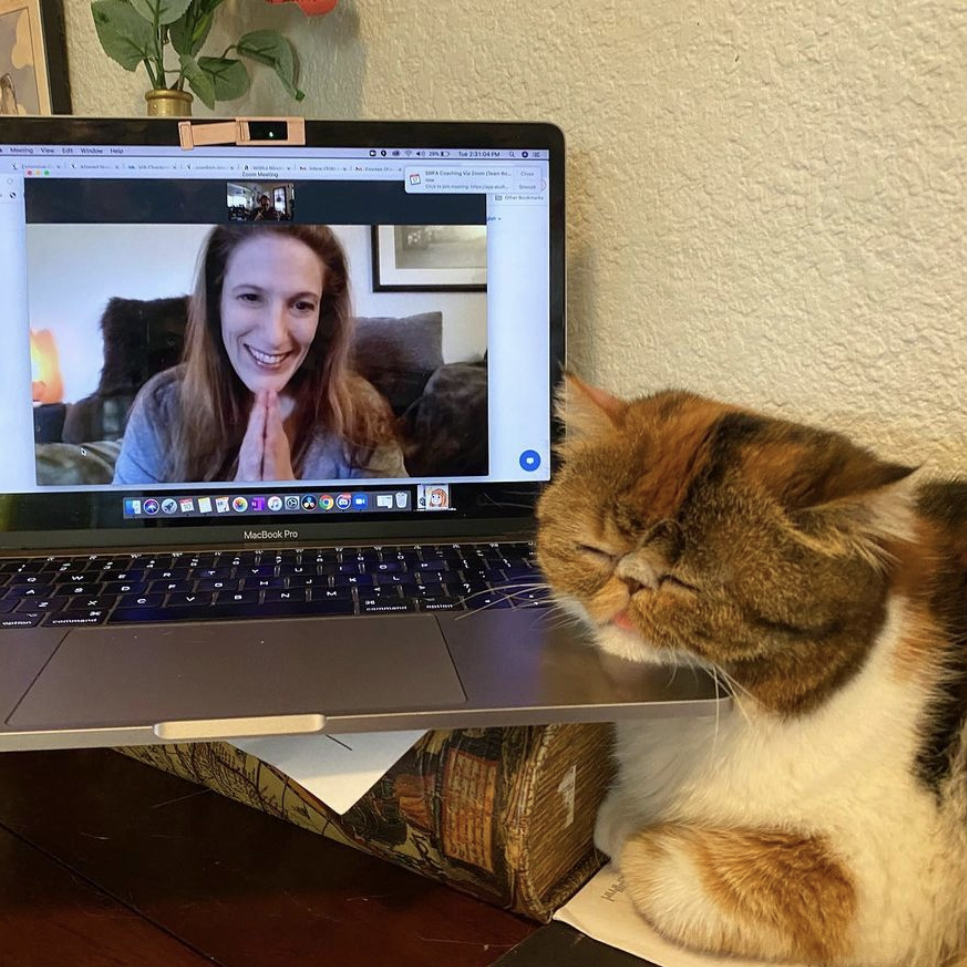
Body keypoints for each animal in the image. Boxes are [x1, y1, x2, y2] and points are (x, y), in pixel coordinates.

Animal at [536, 376, 967, 967]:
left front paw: (636, 827)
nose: (632, 581)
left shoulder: (867, 887)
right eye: (596, 550)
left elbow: (660, 866)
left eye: (685, 583)